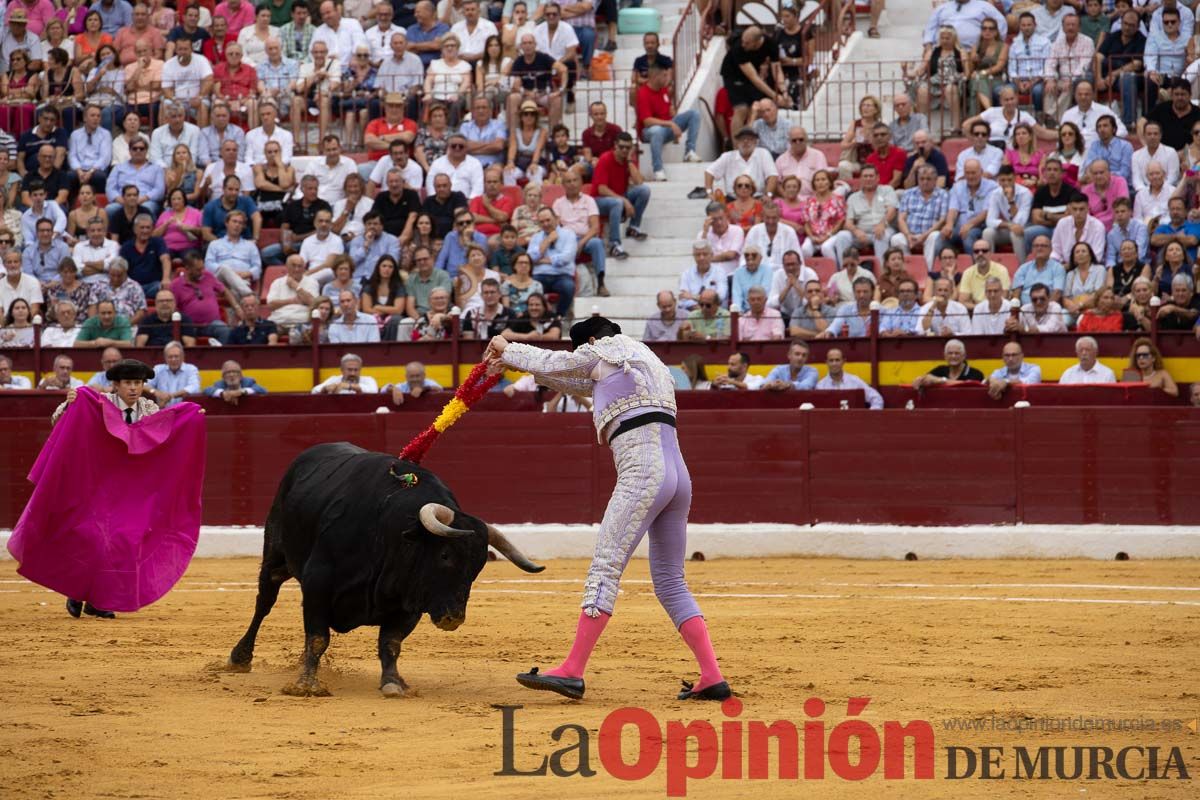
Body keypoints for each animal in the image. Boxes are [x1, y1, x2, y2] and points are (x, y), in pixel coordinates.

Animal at [225, 441, 544, 695]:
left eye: (477, 568)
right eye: (444, 555)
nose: (453, 618)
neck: (388, 534)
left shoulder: (409, 603)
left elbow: (390, 643)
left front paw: (393, 683)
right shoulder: (318, 584)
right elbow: (317, 637)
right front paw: (306, 685)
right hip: (275, 556)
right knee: (264, 603)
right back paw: (239, 658)